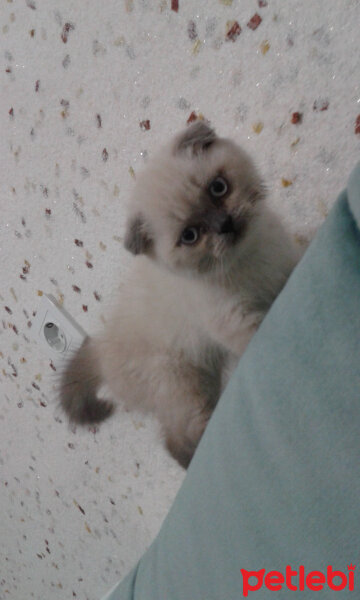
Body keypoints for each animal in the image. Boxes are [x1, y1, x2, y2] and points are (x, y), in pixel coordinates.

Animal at [60, 122, 300, 468]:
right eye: (190, 236)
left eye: (218, 188)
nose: (225, 224)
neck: (248, 260)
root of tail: (101, 350)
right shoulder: (234, 320)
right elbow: (263, 332)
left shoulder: (283, 270)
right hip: (182, 387)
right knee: (177, 440)